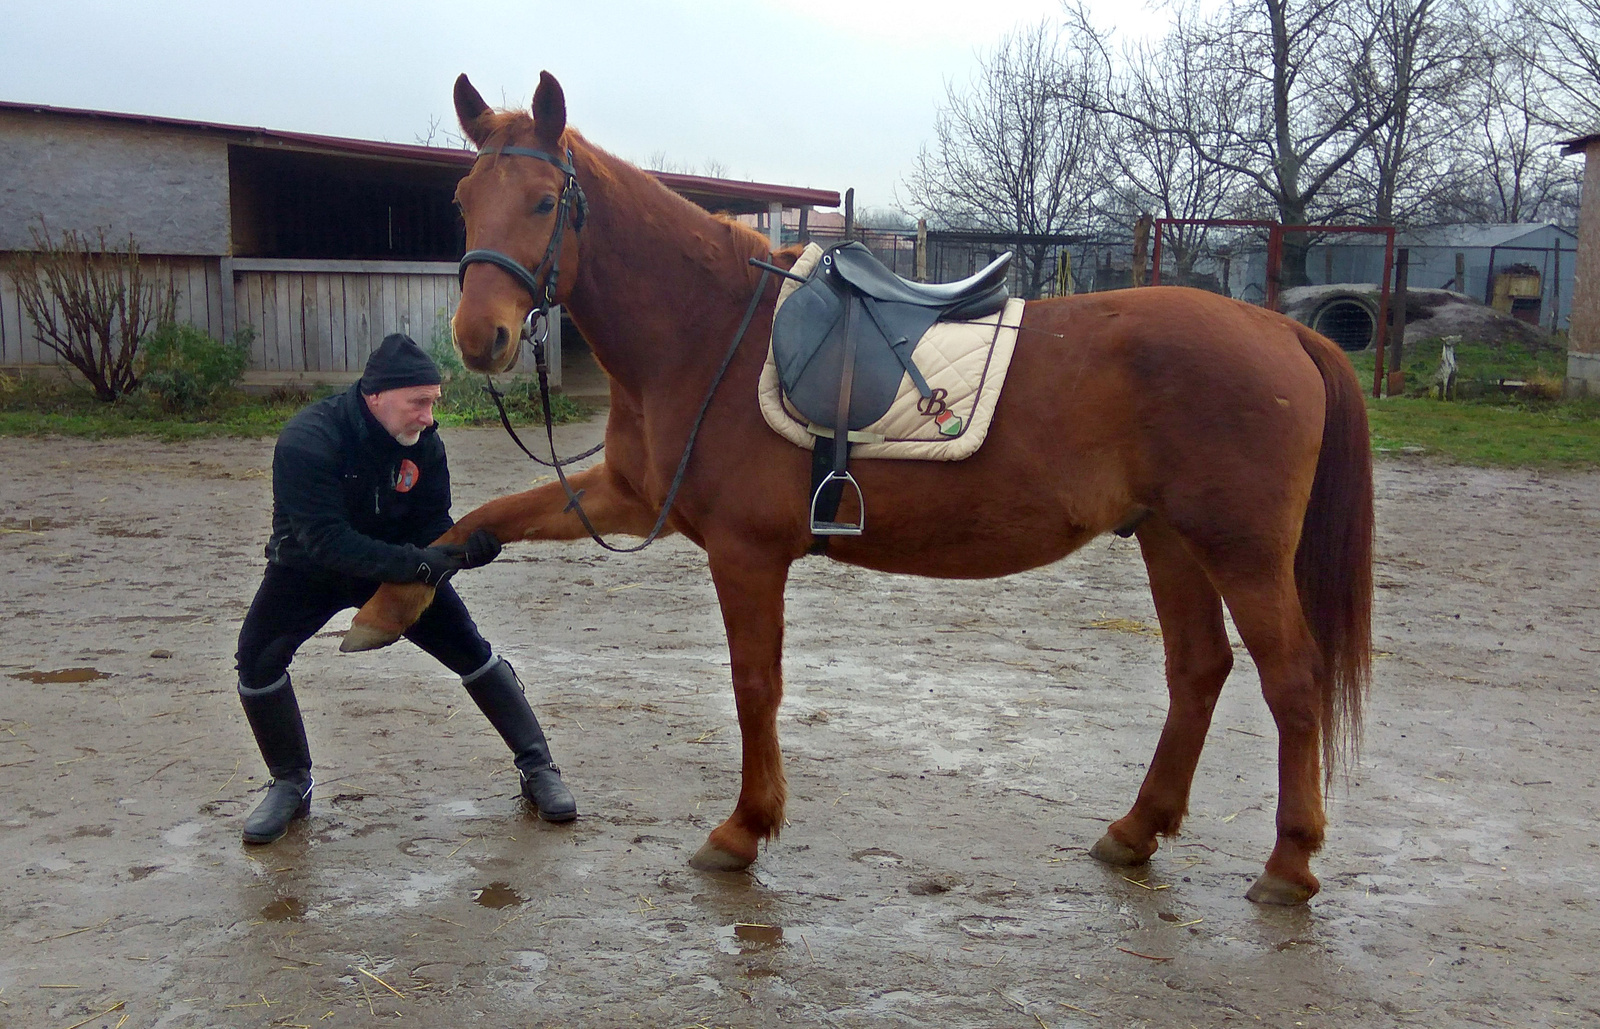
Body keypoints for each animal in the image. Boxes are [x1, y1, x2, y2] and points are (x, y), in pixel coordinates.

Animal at [347, 72, 1376, 908]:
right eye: (463, 199)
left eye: (542, 199)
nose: (479, 337)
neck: (707, 330)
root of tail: (1284, 332)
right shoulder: (629, 499)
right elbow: (478, 522)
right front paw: (384, 605)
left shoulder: (746, 551)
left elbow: (754, 683)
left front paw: (743, 829)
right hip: (1169, 538)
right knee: (1197, 671)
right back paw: (1134, 831)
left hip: (1240, 550)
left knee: (1292, 679)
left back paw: (1289, 864)